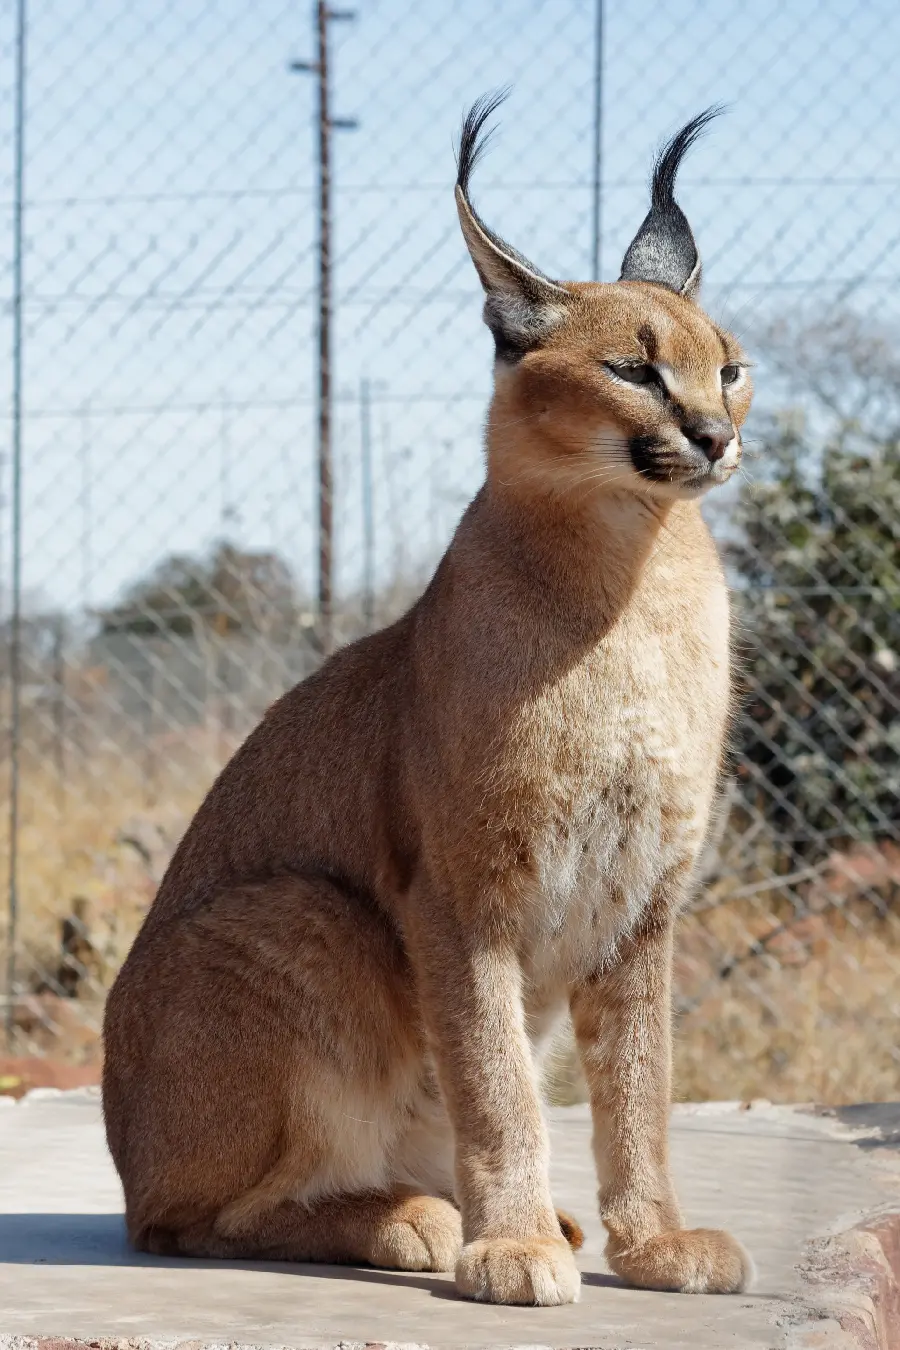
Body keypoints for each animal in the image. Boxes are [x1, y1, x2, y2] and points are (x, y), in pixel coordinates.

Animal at [103, 97, 755, 1306]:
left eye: (729, 369)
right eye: (635, 372)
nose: (715, 436)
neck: (633, 571)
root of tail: (127, 1163)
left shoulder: (643, 903)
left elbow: (640, 1087)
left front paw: (651, 1241)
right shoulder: (460, 889)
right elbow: (495, 1077)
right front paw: (510, 1246)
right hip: (306, 912)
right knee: (197, 1222)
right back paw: (414, 1216)